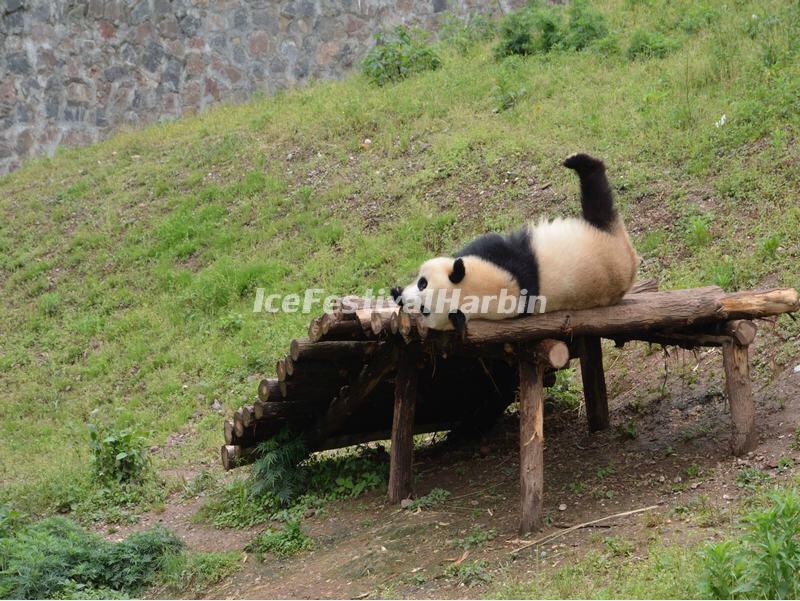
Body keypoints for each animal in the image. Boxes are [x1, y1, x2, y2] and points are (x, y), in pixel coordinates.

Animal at [391, 153, 639, 331]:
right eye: (422, 283)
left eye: (424, 308)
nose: (399, 297)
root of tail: (631, 265)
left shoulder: (502, 255)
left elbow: (480, 244)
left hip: (600, 233)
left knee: (597, 198)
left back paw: (580, 163)